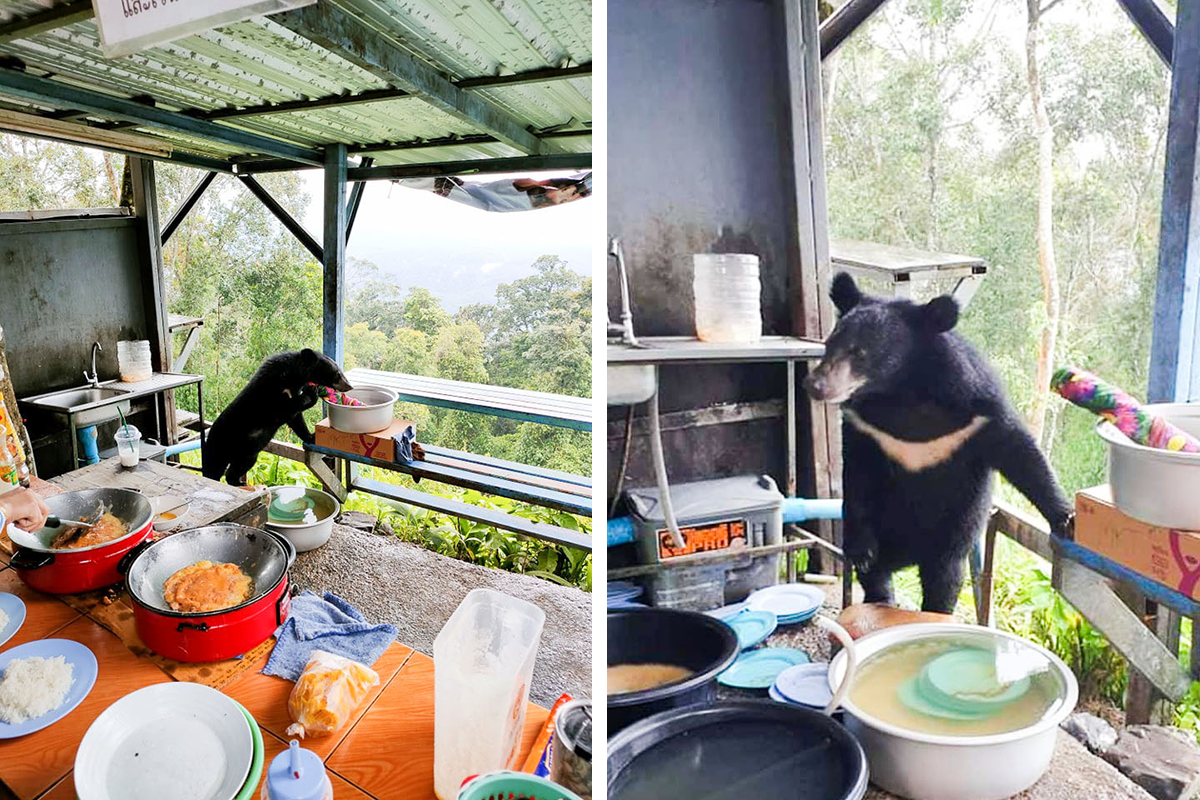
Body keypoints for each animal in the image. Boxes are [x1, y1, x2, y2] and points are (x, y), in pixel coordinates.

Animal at [200, 350, 350, 489]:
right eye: (337, 372)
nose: (349, 386)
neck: (292, 378)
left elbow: (296, 420)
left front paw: (311, 436)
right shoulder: (269, 393)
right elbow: (284, 410)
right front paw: (311, 392)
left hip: (248, 453)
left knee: (237, 467)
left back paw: (238, 482)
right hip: (220, 446)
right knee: (213, 469)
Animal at [806, 275, 1070, 614]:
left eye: (860, 353)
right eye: (829, 344)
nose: (815, 385)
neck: (903, 392)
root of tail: (906, 555)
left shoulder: (979, 414)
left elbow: (1022, 456)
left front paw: (1065, 519)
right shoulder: (865, 429)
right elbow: (857, 479)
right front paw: (862, 551)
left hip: (949, 537)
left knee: (945, 576)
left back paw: (934, 608)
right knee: (876, 568)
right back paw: (881, 595)